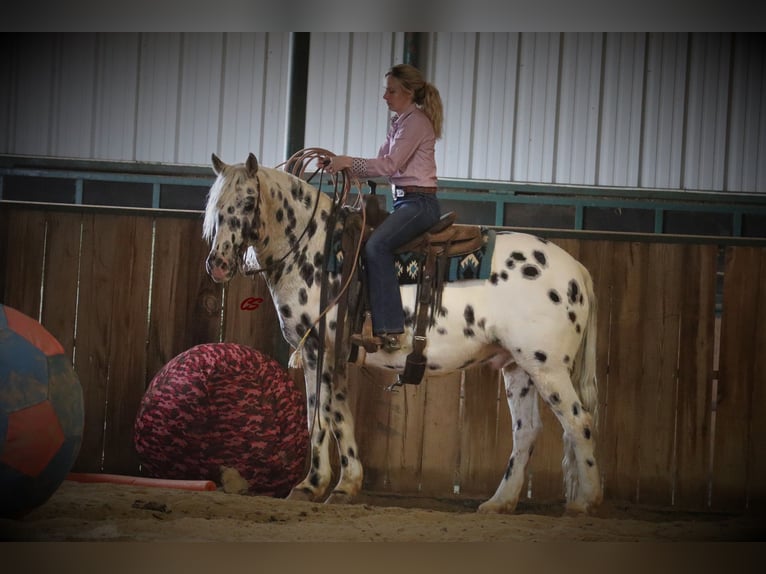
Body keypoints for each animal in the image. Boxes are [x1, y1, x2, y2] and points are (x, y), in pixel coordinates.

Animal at [206, 153, 608, 516]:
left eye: (248, 200)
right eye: (214, 205)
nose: (218, 263)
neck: (316, 250)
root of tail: (578, 271)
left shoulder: (316, 349)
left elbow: (319, 416)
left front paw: (311, 485)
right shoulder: (334, 354)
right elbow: (339, 415)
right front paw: (346, 486)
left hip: (548, 367)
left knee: (579, 423)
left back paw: (585, 502)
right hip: (518, 367)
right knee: (527, 431)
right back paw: (500, 502)